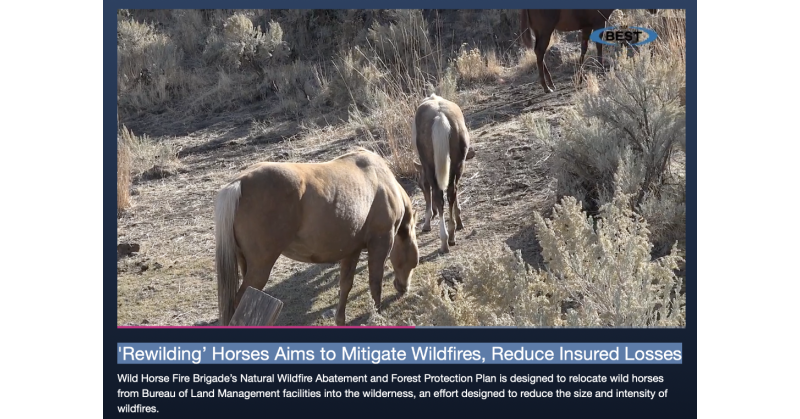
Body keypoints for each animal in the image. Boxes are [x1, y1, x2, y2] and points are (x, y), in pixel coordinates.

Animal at [214, 147, 420, 327]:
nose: (404, 288)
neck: (381, 180)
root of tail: (239, 182)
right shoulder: (380, 244)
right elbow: (375, 283)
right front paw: (376, 316)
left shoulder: (351, 251)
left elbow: (346, 285)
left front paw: (340, 319)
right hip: (260, 266)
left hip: (246, 263)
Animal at [411, 94, 471, 254]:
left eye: (420, 186)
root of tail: (440, 116)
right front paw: (459, 221)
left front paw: (427, 222)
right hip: (457, 164)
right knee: (451, 192)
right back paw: (451, 235)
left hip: (431, 166)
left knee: (439, 196)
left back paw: (444, 241)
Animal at [519, 9, 658, 93]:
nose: (655, 10)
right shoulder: (599, 23)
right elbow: (598, 46)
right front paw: (601, 71)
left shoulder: (586, 27)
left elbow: (583, 49)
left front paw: (579, 78)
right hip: (545, 30)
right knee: (540, 51)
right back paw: (546, 87)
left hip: (539, 31)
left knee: (538, 52)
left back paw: (551, 84)